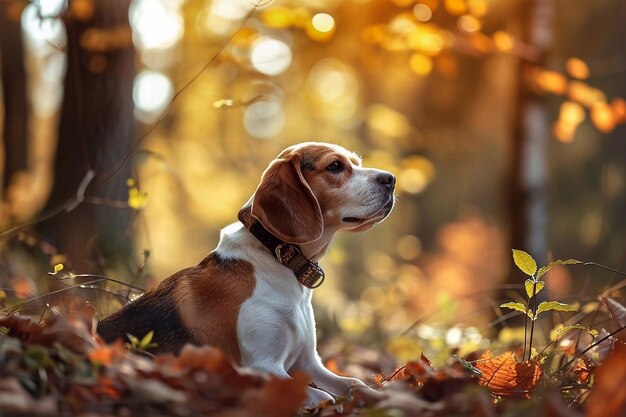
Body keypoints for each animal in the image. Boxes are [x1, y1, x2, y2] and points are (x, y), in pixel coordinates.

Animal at [97, 142, 394, 406]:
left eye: (357, 163)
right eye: (335, 166)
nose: (391, 179)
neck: (278, 258)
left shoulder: (309, 363)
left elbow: (355, 383)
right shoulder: (262, 366)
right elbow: (325, 397)